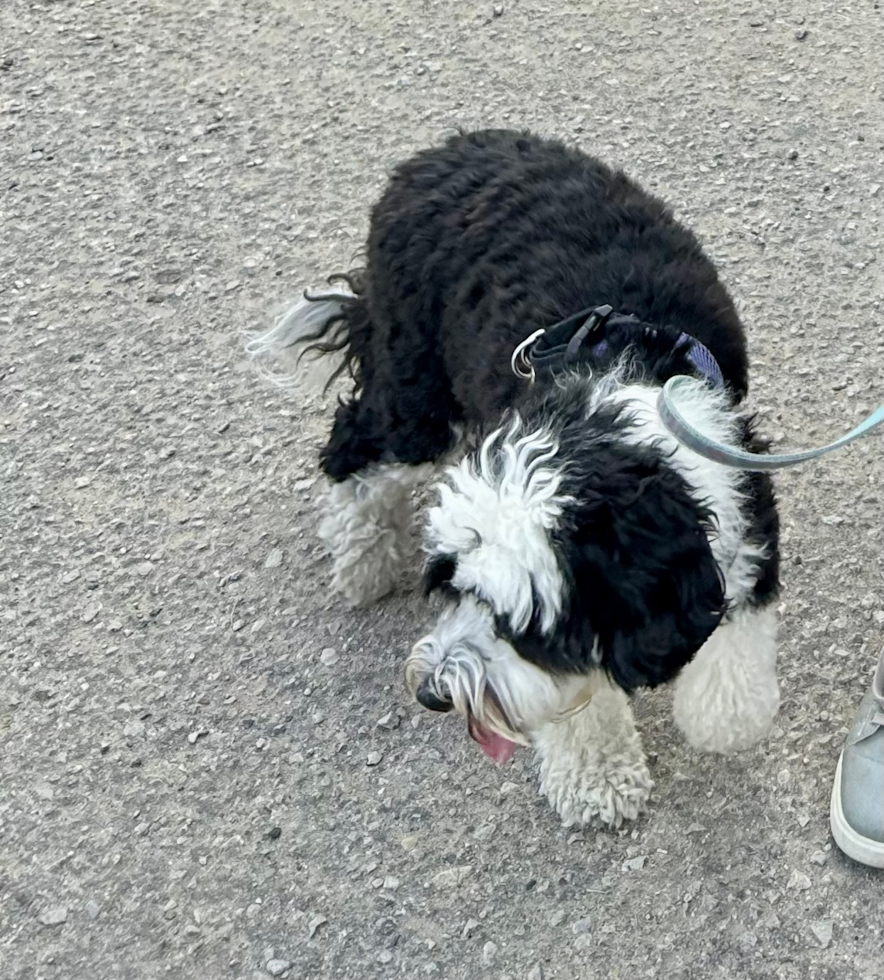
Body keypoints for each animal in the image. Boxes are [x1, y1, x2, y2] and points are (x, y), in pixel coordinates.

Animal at [249, 126, 780, 824]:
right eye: (453, 587)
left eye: (520, 627)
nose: (433, 693)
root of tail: (438, 152)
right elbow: (576, 701)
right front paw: (596, 775)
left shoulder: (739, 493)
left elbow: (731, 692)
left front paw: (714, 711)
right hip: (416, 383)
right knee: (356, 445)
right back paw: (362, 556)